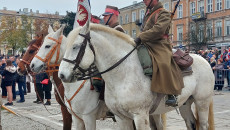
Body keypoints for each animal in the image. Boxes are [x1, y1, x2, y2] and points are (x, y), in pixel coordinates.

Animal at [58, 22, 215, 130]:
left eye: (75, 46)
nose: (62, 75)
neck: (123, 75)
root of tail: (203, 60)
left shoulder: (140, 116)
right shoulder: (121, 118)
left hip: (202, 102)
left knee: (203, 125)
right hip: (185, 103)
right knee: (191, 124)